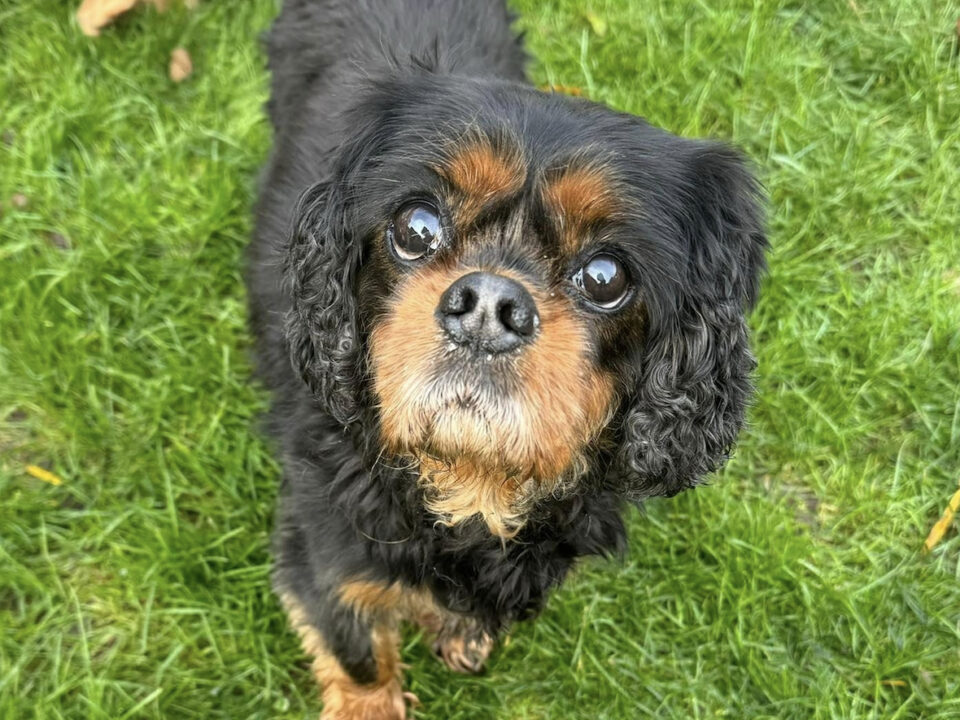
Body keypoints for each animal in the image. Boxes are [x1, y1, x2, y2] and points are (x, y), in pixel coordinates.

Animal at [248, 2, 764, 716]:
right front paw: (370, 700)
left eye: (606, 276)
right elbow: (359, 659)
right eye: (416, 227)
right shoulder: (323, 558)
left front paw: (463, 633)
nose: (488, 305)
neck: (471, 483)